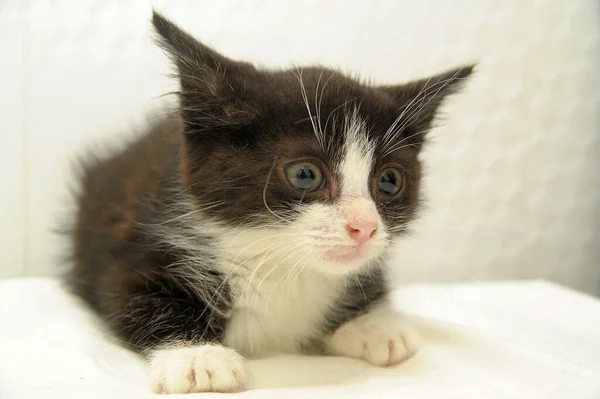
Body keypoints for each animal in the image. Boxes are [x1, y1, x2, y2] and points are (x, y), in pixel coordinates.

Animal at [67, 10, 474, 396]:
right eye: (306, 175)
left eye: (389, 180)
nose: (365, 226)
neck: (281, 265)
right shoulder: (129, 254)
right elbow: (133, 297)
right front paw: (196, 355)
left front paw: (371, 324)